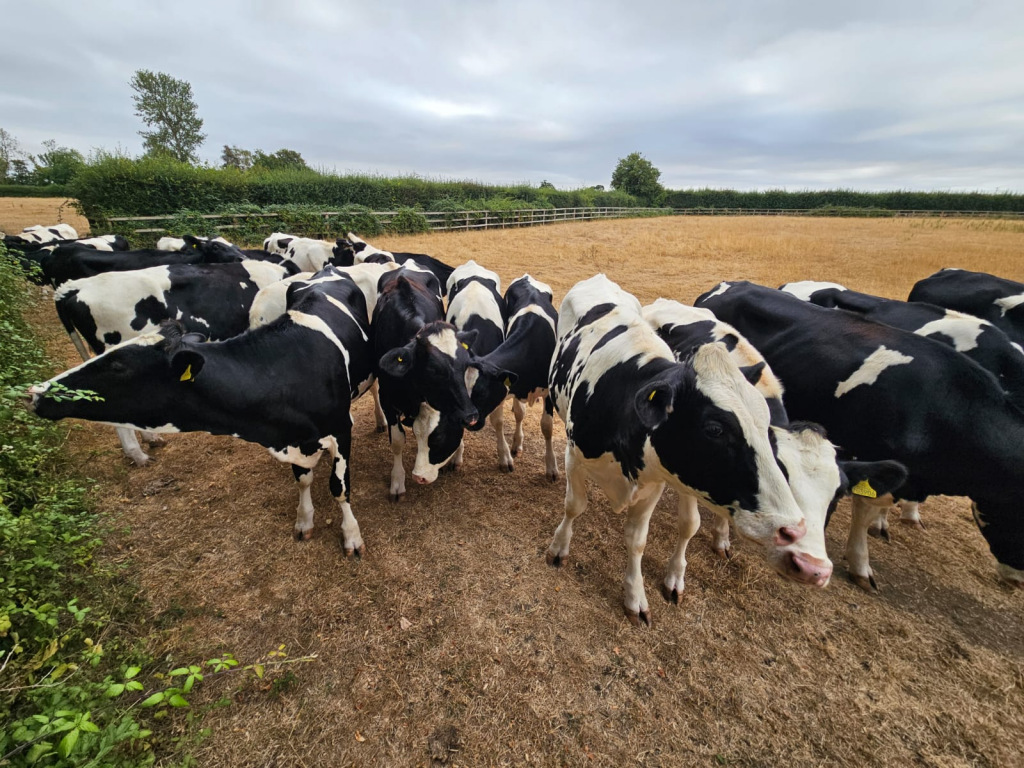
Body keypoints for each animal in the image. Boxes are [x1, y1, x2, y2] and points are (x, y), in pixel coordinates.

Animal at [465, 274, 559, 478]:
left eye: (482, 393)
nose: (468, 422)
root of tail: (527, 277)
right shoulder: (506, 389)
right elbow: (499, 421)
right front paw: (505, 457)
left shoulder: (548, 391)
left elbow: (547, 426)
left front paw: (551, 467)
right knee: (519, 413)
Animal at [546, 274, 824, 626]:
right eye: (715, 429)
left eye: (765, 425)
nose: (793, 529)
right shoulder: (574, 457)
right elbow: (574, 506)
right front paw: (558, 549)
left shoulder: (653, 483)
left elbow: (637, 541)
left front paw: (636, 596)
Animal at [642, 298, 906, 598]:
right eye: (782, 474)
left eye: (838, 495)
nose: (811, 567)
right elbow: (689, 523)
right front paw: (675, 578)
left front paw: (722, 539)